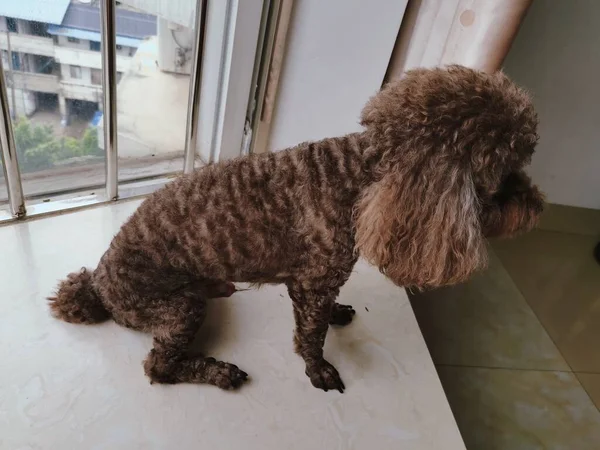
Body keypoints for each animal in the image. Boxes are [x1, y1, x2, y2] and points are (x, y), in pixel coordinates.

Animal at [48, 66, 544, 394]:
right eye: (502, 176)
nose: (539, 208)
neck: (357, 177)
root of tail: (98, 283)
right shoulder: (312, 285)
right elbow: (311, 335)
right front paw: (318, 369)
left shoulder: (315, 286)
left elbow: (322, 319)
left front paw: (338, 314)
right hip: (177, 309)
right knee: (159, 367)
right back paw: (218, 371)